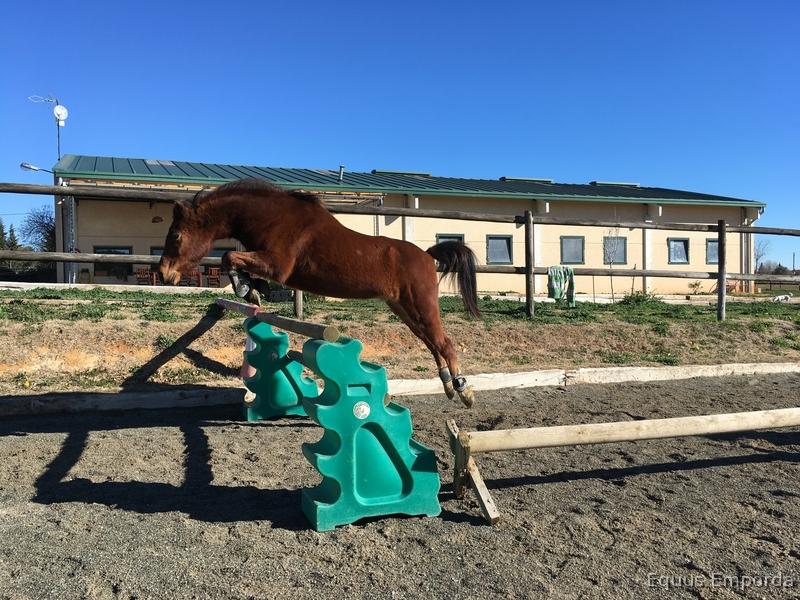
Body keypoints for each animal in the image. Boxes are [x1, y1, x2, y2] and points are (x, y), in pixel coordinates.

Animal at [157, 178, 482, 407]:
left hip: (420, 305)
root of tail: (427, 255)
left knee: (444, 343)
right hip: (404, 309)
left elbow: (228, 258)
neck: (270, 216)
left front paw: (247, 287)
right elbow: (235, 263)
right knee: (432, 343)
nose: (163, 274)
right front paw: (251, 290)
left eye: (176, 235)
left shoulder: (277, 265)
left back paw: (464, 391)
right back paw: (448, 386)